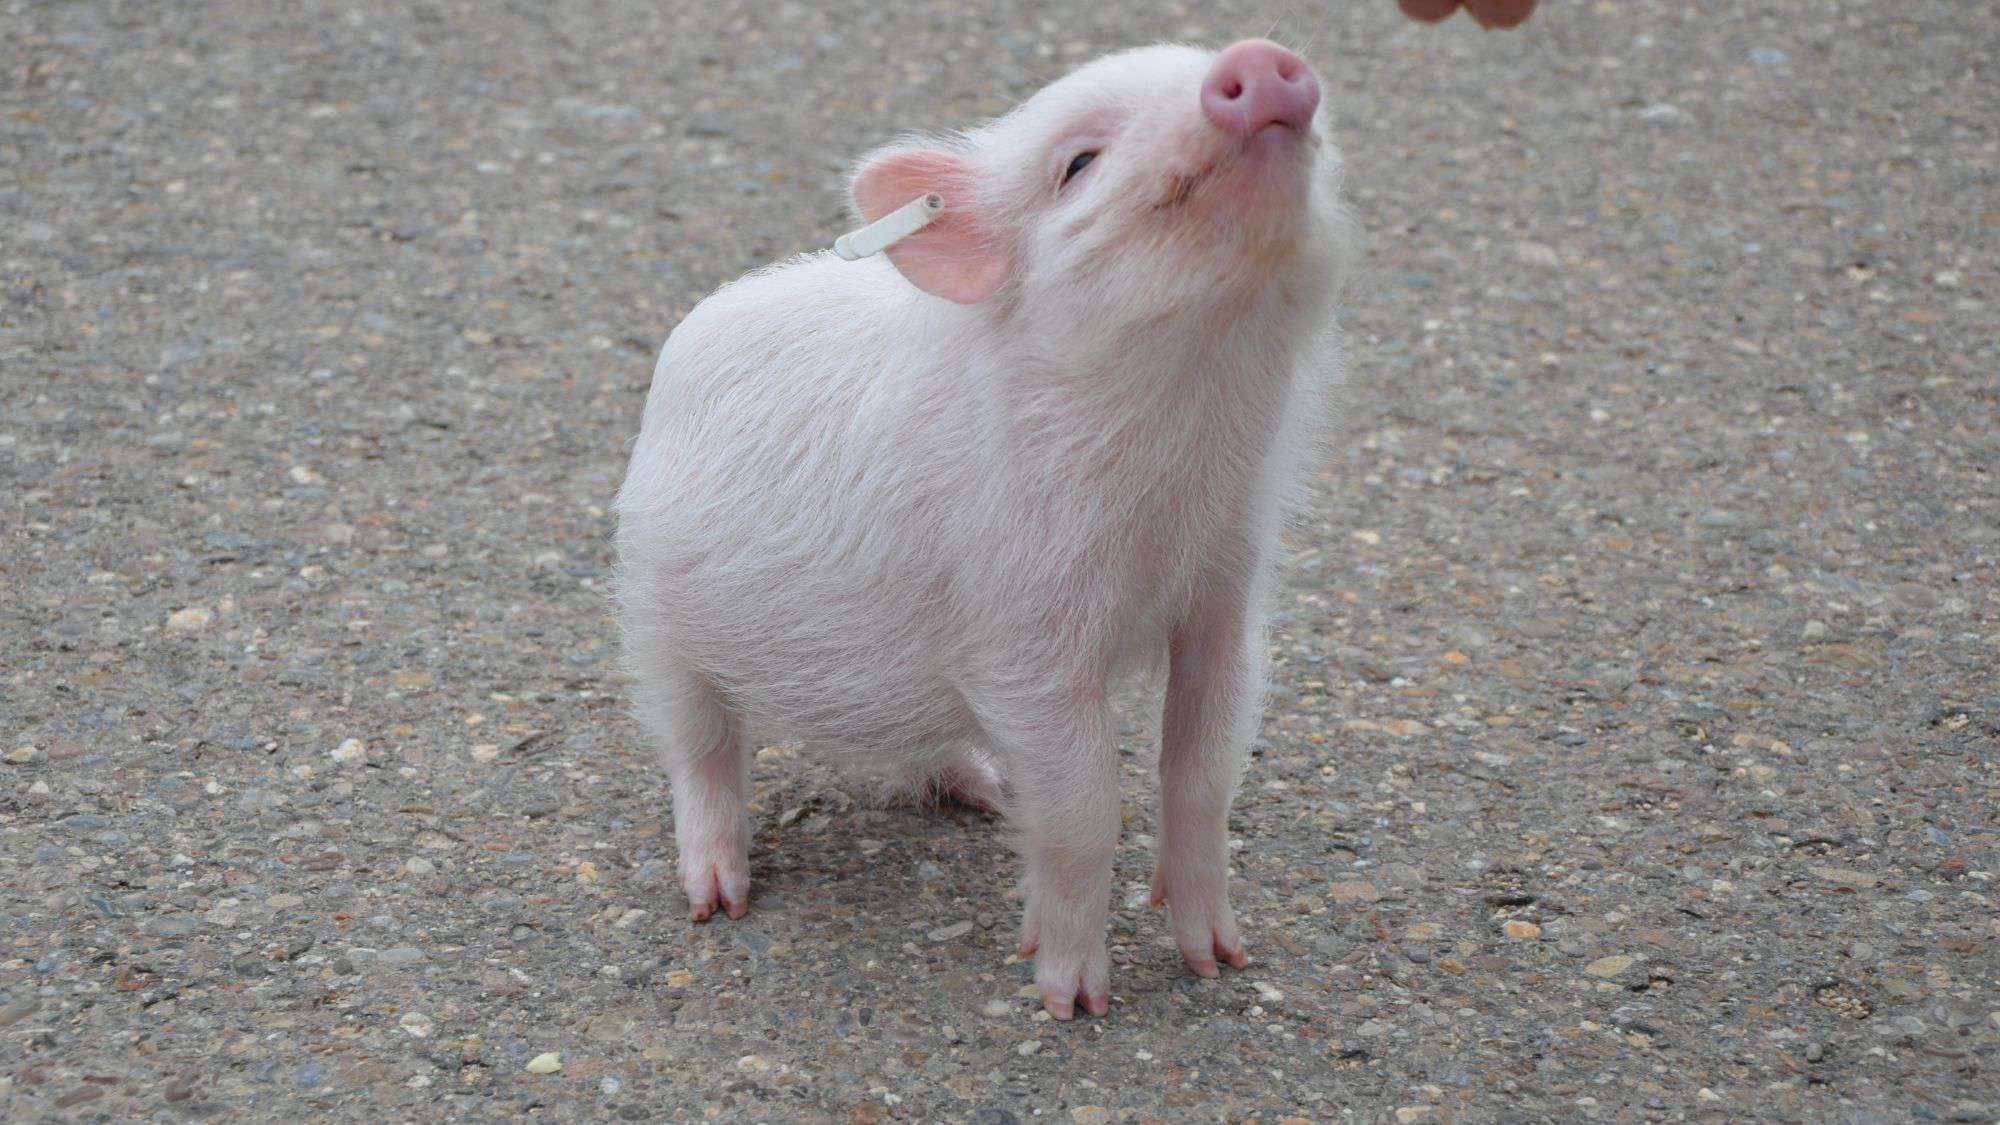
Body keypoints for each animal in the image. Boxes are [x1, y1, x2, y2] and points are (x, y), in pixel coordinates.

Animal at [614, 39, 1355, 1019]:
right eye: (1078, 163)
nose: (1259, 58)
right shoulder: (1024, 636)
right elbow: (1085, 806)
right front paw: (1073, 1001)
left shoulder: (1226, 593)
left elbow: (1204, 771)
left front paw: (1220, 962)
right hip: (650, 608)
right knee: (697, 746)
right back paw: (717, 899)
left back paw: (988, 787)